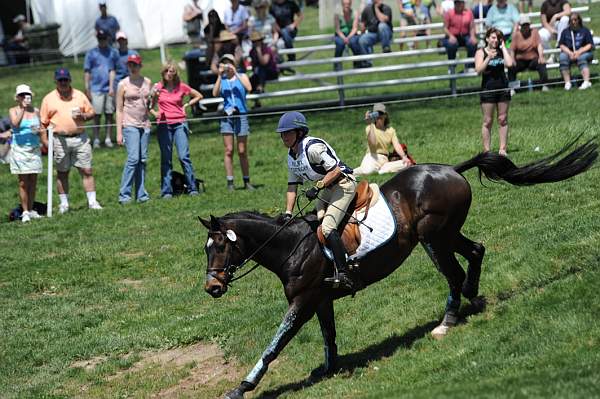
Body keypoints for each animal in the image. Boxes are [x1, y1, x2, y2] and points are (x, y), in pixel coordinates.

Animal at [200, 139, 596, 398]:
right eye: (206, 250)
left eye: (220, 246)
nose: (212, 288)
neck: (290, 247)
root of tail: (450, 169)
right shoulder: (321, 299)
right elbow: (328, 335)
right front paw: (330, 368)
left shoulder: (303, 301)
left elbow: (275, 344)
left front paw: (242, 386)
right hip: (447, 233)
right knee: (476, 251)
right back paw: (473, 296)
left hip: (433, 237)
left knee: (453, 274)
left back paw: (447, 321)